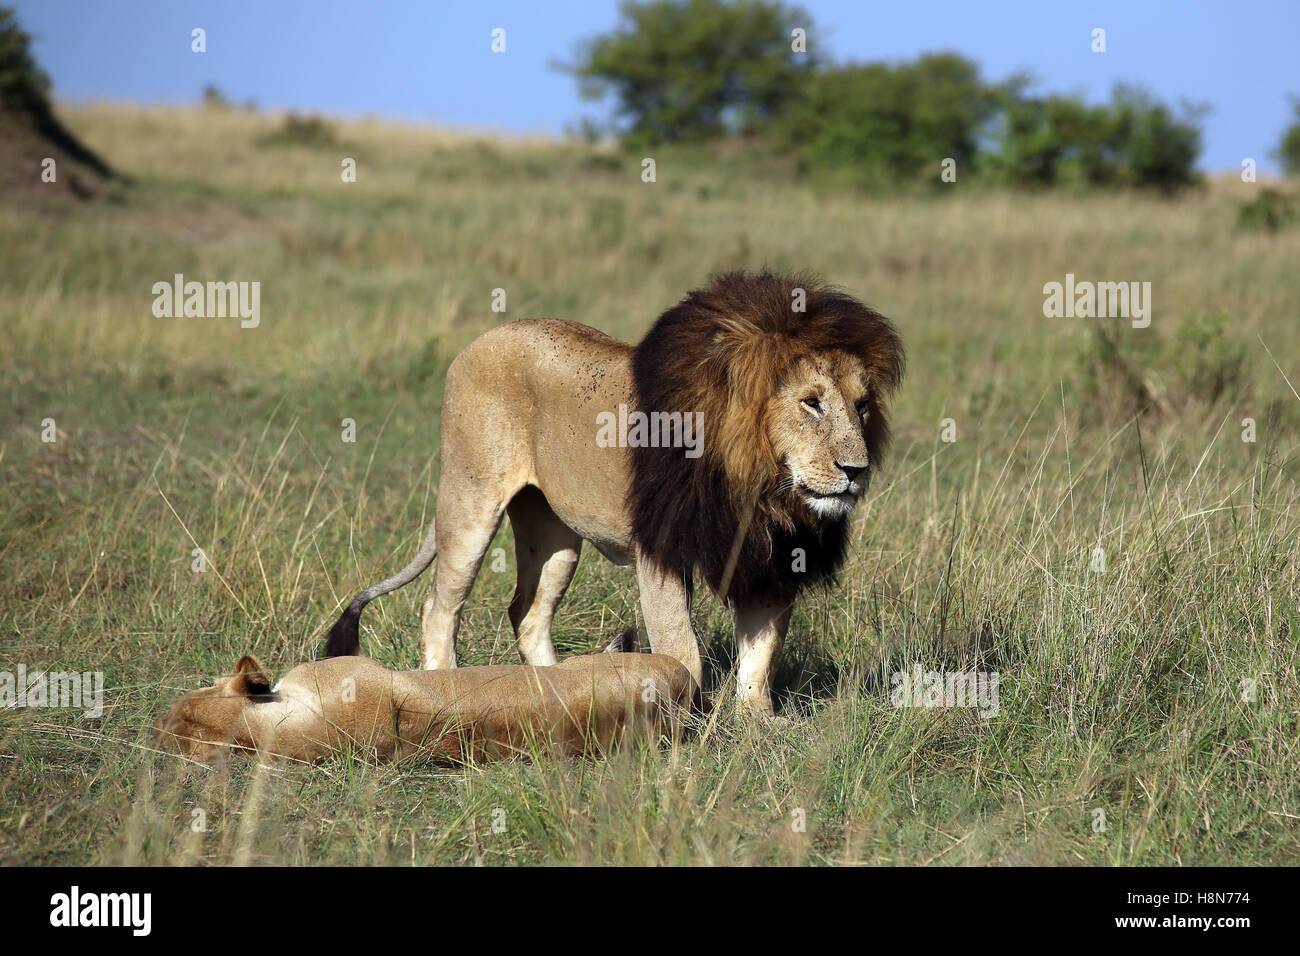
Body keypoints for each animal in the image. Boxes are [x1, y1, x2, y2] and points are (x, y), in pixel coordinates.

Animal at [322, 270, 904, 717]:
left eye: (863, 406)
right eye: (811, 402)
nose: (856, 470)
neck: (761, 487)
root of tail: (483, 338)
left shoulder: (770, 563)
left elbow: (762, 657)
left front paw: (758, 726)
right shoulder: (660, 553)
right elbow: (681, 651)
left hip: (554, 536)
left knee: (528, 614)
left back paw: (557, 692)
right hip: (471, 502)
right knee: (440, 608)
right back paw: (448, 685)